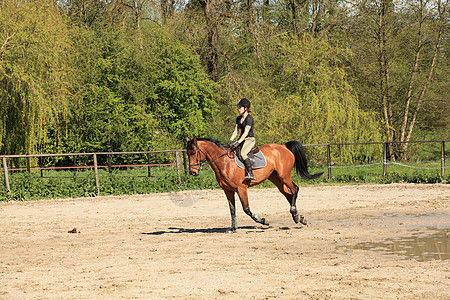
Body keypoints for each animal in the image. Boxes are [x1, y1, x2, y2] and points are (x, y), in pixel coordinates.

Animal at [186, 136, 324, 232]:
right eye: (187, 154)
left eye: (193, 153)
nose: (193, 172)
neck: (225, 162)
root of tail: (284, 146)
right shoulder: (228, 190)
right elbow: (232, 209)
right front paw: (233, 228)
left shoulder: (241, 188)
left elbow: (246, 209)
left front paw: (263, 221)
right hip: (276, 178)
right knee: (288, 194)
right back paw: (299, 217)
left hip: (284, 176)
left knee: (295, 189)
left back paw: (296, 215)